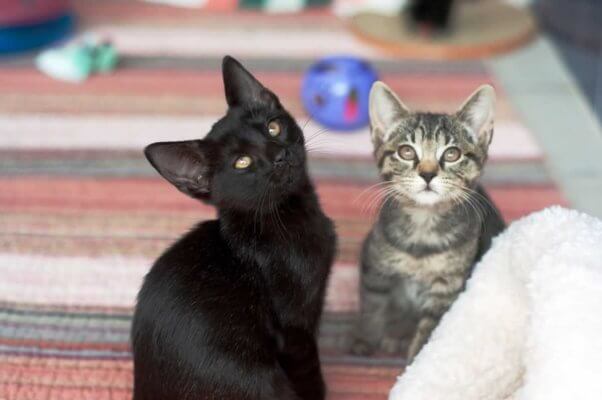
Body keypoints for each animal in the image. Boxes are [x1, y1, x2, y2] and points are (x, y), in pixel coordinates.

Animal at [131, 56, 336, 400]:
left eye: (273, 127)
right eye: (242, 162)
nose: (280, 155)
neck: (290, 216)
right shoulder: (295, 329)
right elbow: (310, 374)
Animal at [350, 81, 504, 362]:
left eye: (452, 154)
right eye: (406, 151)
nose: (428, 174)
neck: (423, 226)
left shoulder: (448, 287)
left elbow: (429, 330)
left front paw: (416, 364)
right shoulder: (374, 263)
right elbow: (372, 303)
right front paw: (364, 339)